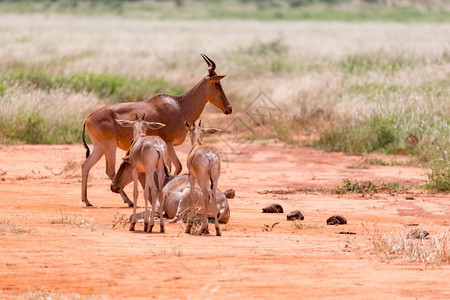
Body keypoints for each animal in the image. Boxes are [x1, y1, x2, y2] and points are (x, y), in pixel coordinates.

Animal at [80, 53, 232, 206]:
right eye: (217, 84)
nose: (229, 108)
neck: (180, 105)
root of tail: (88, 119)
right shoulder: (169, 143)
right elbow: (176, 167)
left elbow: (170, 167)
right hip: (109, 146)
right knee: (110, 170)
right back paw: (128, 201)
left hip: (99, 146)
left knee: (86, 165)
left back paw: (87, 200)